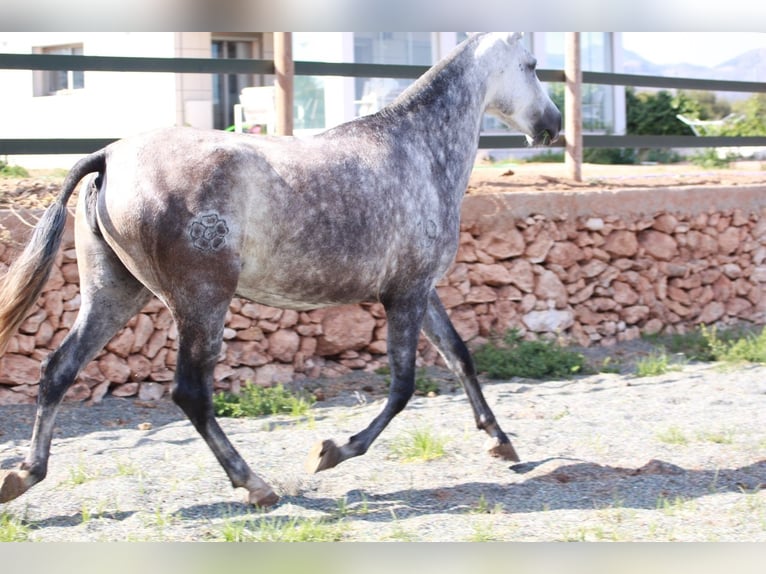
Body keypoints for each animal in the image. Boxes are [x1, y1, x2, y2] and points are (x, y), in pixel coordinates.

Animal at [1, 32, 564, 508]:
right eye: (533, 66)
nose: (554, 125)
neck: (420, 153)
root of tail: (108, 156)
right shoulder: (404, 294)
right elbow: (404, 386)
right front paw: (332, 451)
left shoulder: (421, 290)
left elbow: (460, 356)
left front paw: (502, 443)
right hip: (203, 299)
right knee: (190, 392)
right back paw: (256, 485)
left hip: (116, 292)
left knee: (58, 370)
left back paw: (24, 475)